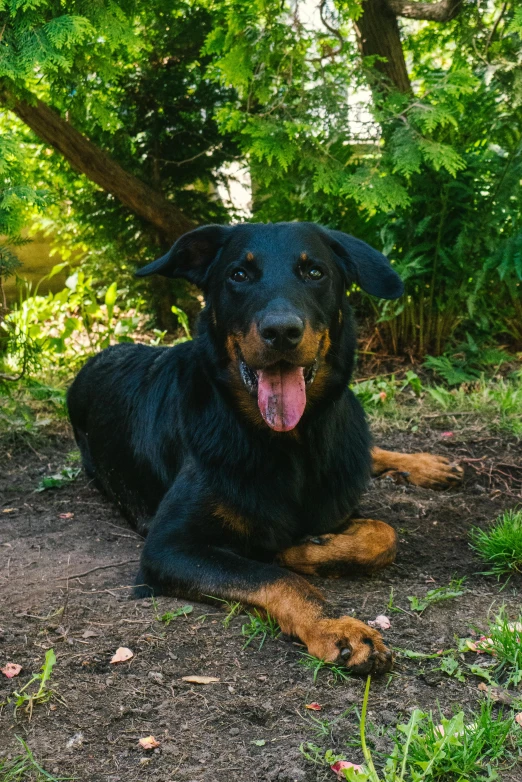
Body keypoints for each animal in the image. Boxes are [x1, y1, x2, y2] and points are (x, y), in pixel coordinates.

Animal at [67, 224, 462, 676]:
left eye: (314, 272)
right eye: (238, 275)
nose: (281, 332)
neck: (288, 445)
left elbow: (384, 535)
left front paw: (309, 548)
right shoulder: (168, 547)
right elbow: (274, 575)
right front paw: (335, 626)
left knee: (369, 453)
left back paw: (427, 465)